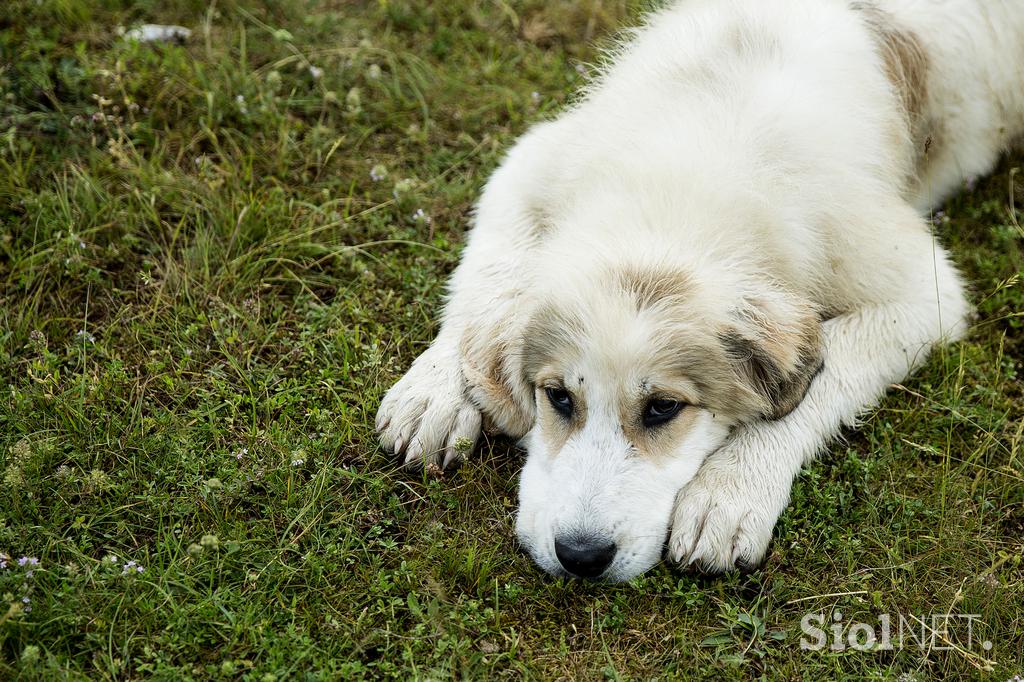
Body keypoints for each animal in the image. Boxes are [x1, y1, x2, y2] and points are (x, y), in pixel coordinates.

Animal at [376, 0, 1024, 581]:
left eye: (664, 408)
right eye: (557, 397)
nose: (581, 557)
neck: (683, 184)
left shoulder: (920, 288)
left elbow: (824, 375)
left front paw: (729, 493)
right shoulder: (532, 164)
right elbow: (488, 277)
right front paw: (435, 392)